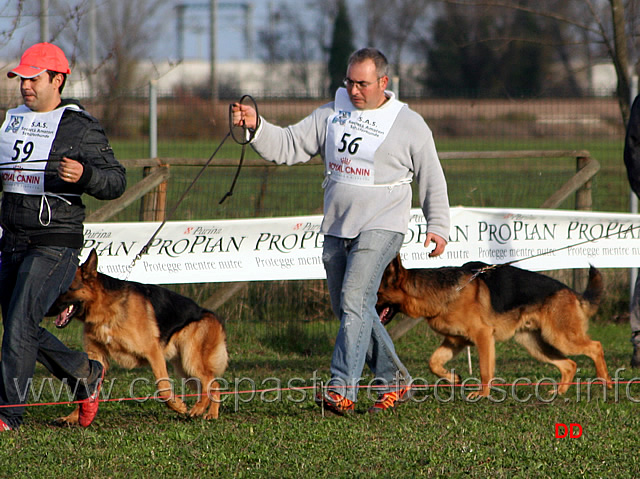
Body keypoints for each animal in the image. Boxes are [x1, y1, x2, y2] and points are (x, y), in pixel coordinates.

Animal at [48, 249, 228, 422]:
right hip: (184, 368)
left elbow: (163, 388)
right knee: (213, 385)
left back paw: (201, 409)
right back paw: (210, 412)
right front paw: (75, 417)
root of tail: (210, 314)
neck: (106, 308)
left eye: (67, 289)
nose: (46, 309)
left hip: (190, 361)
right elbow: (88, 387)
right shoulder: (98, 356)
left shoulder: (153, 352)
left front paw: (178, 406)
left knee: (210, 383)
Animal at [378, 256, 612, 400]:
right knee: (569, 365)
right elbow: (433, 362)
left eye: (378, 294)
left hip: (561, 338)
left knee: (596, 346)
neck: (447, 292)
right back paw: (560, 392)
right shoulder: (455, 341)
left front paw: (482, 394)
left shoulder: (483, 337)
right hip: (536, 345)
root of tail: (572, 292)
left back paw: (606, 382)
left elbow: (484, 369)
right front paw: (454, 379)